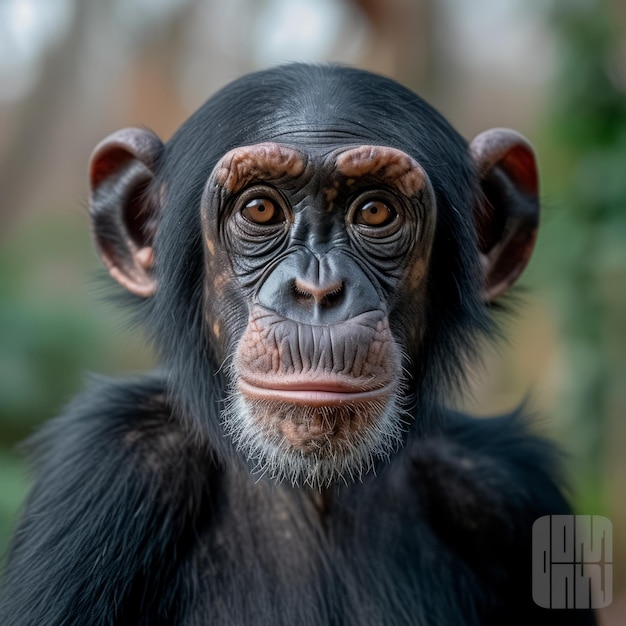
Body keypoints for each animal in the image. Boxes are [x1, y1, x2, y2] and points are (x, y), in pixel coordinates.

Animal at [1, 64, 596, 624]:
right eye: (260, 209)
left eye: (375, 212)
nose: (318, 291)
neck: (316, 492)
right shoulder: (105, 465)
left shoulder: (509, 490)